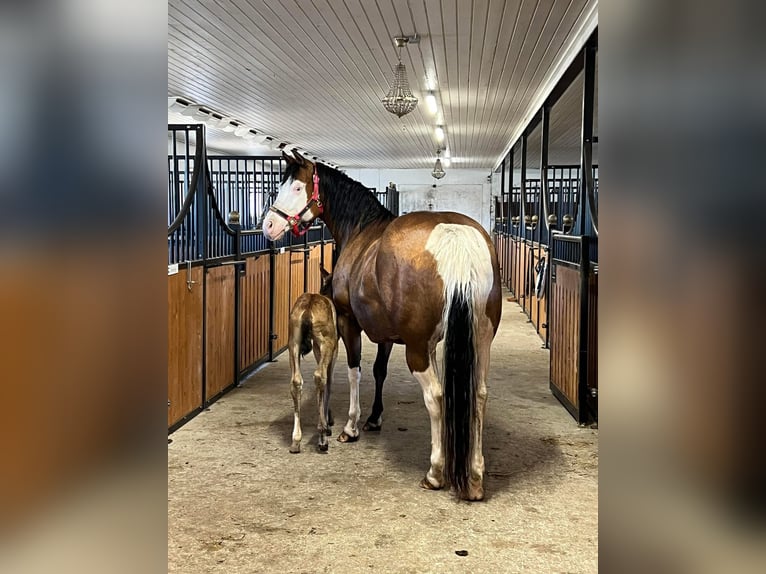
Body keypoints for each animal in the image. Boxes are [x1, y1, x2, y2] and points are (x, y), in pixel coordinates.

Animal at [287, 268, 338, 453]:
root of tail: (307, 311)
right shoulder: (331, 348)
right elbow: (329, 381)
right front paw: (328, 423)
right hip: (325, 342)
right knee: (320, 376)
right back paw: (322, 436)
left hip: (293, 342)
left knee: (296, 381)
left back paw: (296, 440)